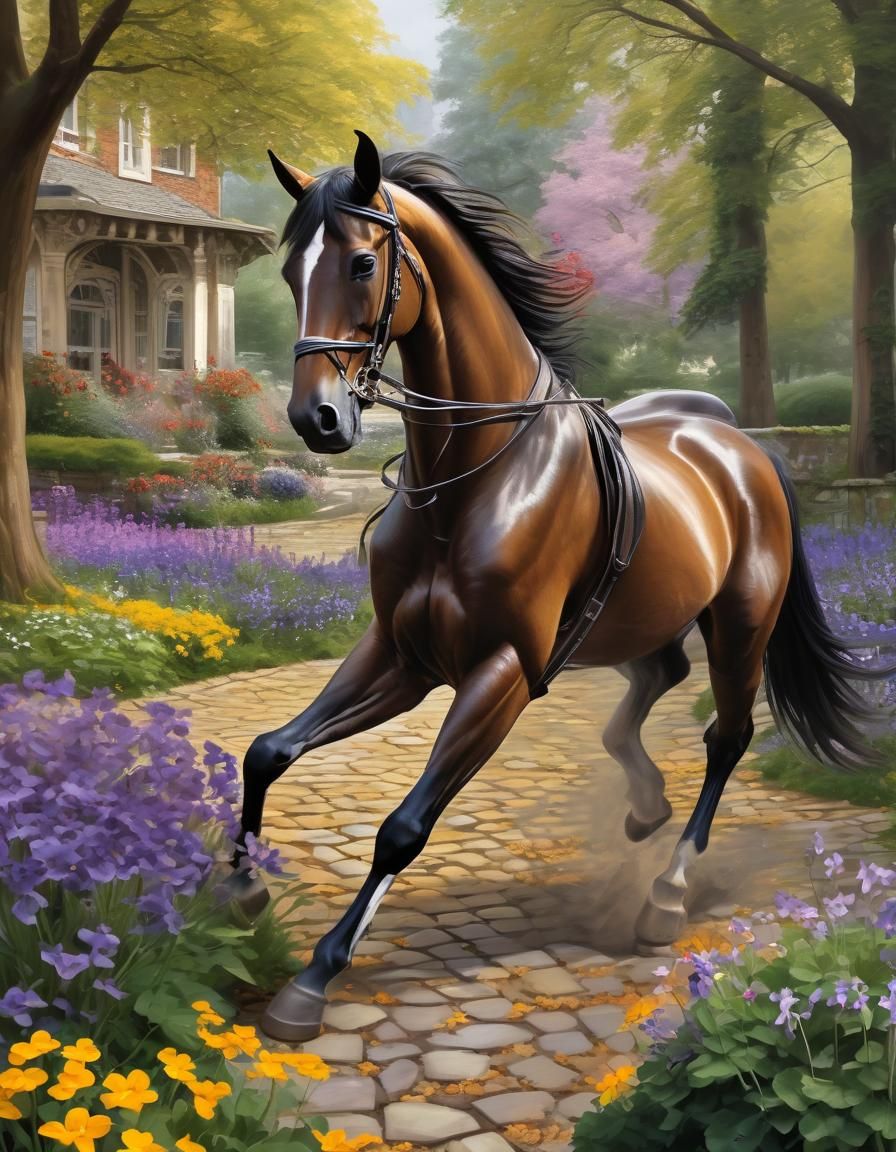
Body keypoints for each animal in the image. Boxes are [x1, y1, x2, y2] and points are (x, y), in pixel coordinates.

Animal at [233, 131, 891, 1042]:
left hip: (739, 626)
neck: (472, 481)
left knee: (725, 736)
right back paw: (644, 806)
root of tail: (739, 445)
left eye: (364, 264)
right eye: (294, 274)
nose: (317, 420)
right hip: (632, 621)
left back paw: (665, 894)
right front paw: (241, 890)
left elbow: (403, 828)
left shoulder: (503, 672)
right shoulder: (400, 655)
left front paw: (314, 977)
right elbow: (267, 750)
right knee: (659, 680)